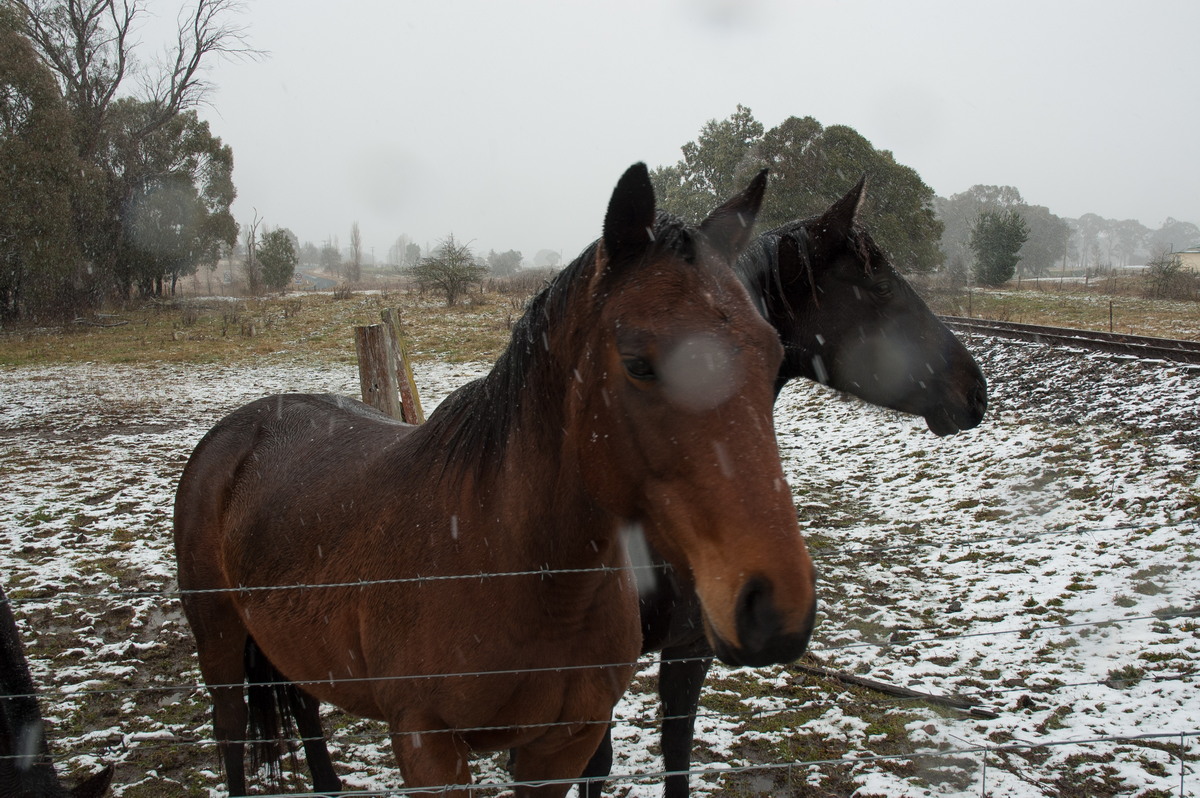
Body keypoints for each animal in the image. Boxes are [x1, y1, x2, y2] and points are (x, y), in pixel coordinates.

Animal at [174, 163, 820, 796]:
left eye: (770, 353)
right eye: (638, 363)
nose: (775, 607)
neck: (518, 572)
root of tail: (238, 429)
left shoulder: (563, 746)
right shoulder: (428, 746)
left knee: (305, 708)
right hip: (220, 641)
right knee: (232, 735)